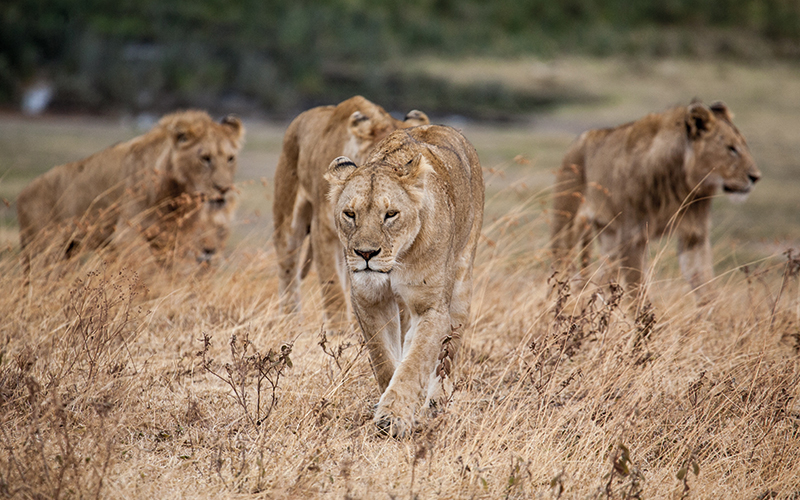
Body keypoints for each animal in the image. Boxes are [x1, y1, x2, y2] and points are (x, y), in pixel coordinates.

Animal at [18, 107, 244, 268]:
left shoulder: (170, 240)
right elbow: (147, 273)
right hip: (44, 249)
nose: (224, 189)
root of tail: (23, 193)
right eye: (205, 158)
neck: (175, 195)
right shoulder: (127, 234)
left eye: (230, 158)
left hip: (68, 249)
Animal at [272, 96, 428, 334]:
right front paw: (339, 332)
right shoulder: (324, 232)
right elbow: (332, 287)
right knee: (288, 270)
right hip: (287, 218)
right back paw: (290, 322)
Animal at [322, 125, 484, 438]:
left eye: (390, 214)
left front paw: (393, 417)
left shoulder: (432, 308)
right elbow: (384, 359)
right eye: (350, 214)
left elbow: (415, 363)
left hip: (462, 285)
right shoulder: (369, 300)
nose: (366, 254)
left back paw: (435, 406)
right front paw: (388, 404)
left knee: (447, 355)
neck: (396, 262)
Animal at [552, 99, 760, 298]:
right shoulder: (633, 237)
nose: (756, 177)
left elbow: (706, 287)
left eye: (744, 146)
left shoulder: (694, 235)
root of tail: (579, 140)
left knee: (603, 279)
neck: (682, 184)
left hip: (608, 234)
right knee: (561, 271)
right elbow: (638, 294)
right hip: (567, 226)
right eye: (731, 149)